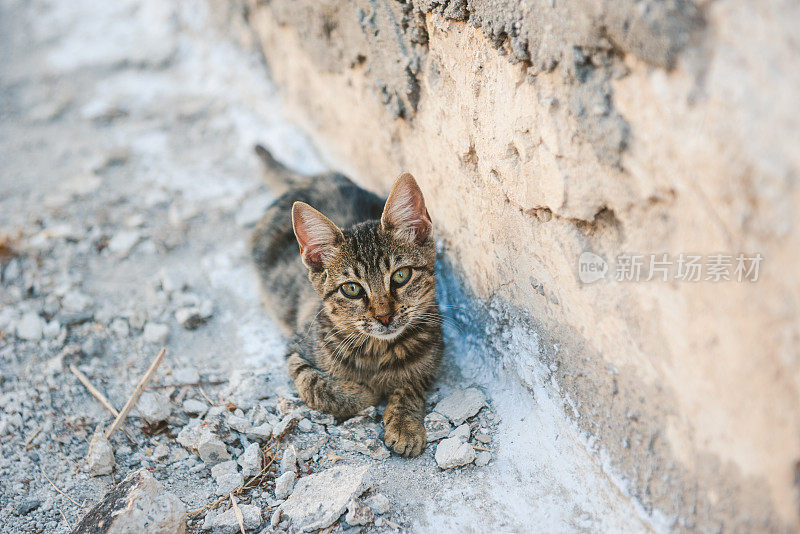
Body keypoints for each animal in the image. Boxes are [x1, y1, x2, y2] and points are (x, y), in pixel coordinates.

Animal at [252, 146, 444, 456]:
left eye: (401, 275)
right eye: (352, 289)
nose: (384, 316)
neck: (378, 351)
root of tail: (310, 179)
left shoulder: (434, 354)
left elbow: (411, 383)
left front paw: (404, 424)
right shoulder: (295, 350)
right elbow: (314, 385)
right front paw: (364, 392)